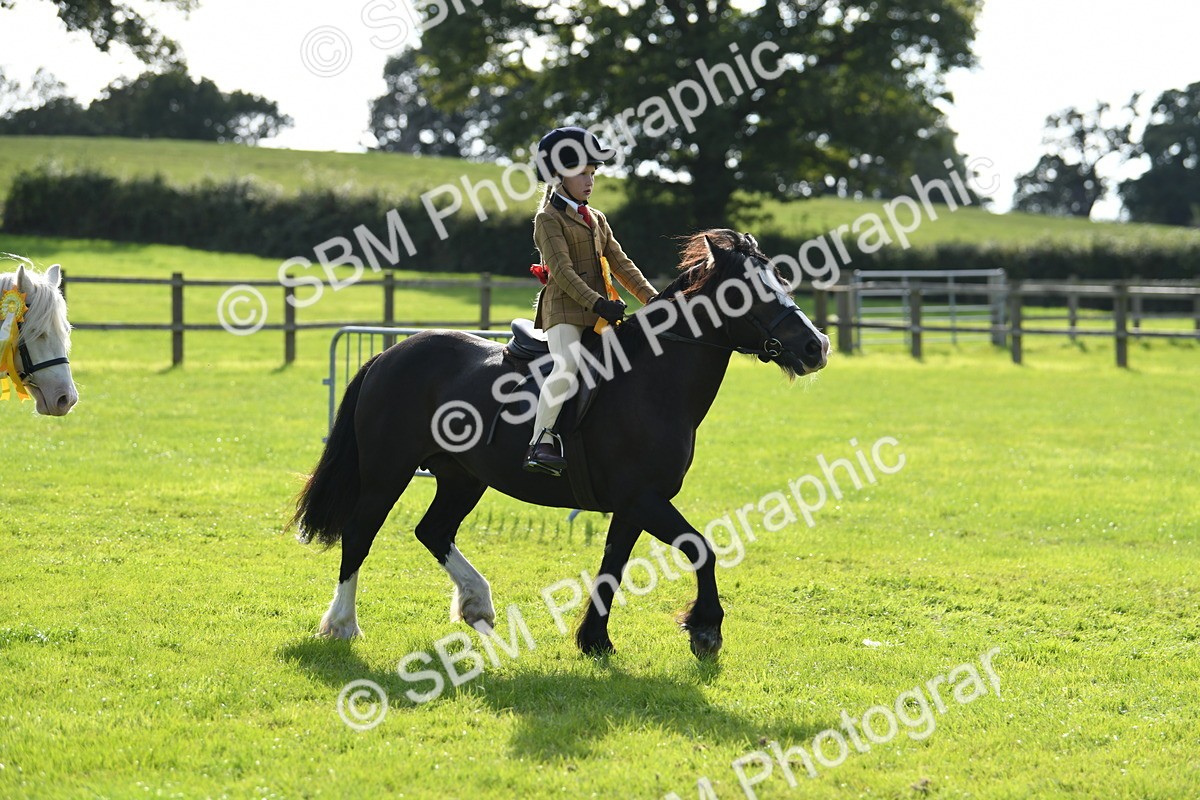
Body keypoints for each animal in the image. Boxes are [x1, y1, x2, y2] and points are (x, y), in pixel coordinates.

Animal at [291, 229, 830, 659]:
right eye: (745, 292)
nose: (816, 347)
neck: (650, 381)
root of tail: (390, 354)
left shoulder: (634, 505)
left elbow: (613, 565)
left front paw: (595, 640)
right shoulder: (644, 499)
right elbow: (702, 549)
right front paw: (705, 631)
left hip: (462, 478)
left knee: (433, 531)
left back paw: (477, 605)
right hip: (388, 471)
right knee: (359, 534)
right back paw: (342, 625)